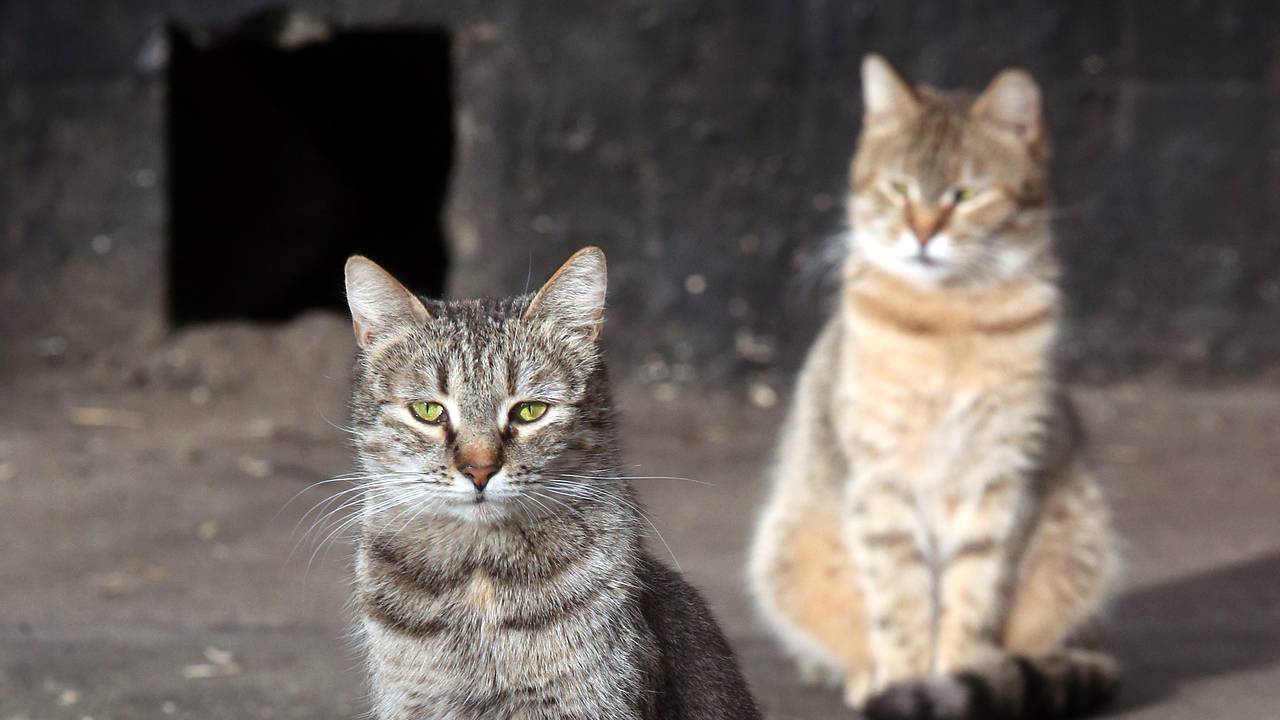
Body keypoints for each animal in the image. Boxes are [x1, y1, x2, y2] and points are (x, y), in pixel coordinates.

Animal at [747, 56, 1121, 717]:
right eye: (898, 189)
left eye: (965, 195)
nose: (922, 234)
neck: (950, 323)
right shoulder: (882, 480)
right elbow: (900, 601)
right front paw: (901, 680)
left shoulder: (1001, 476)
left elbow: (971, 600)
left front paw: (954, 677)